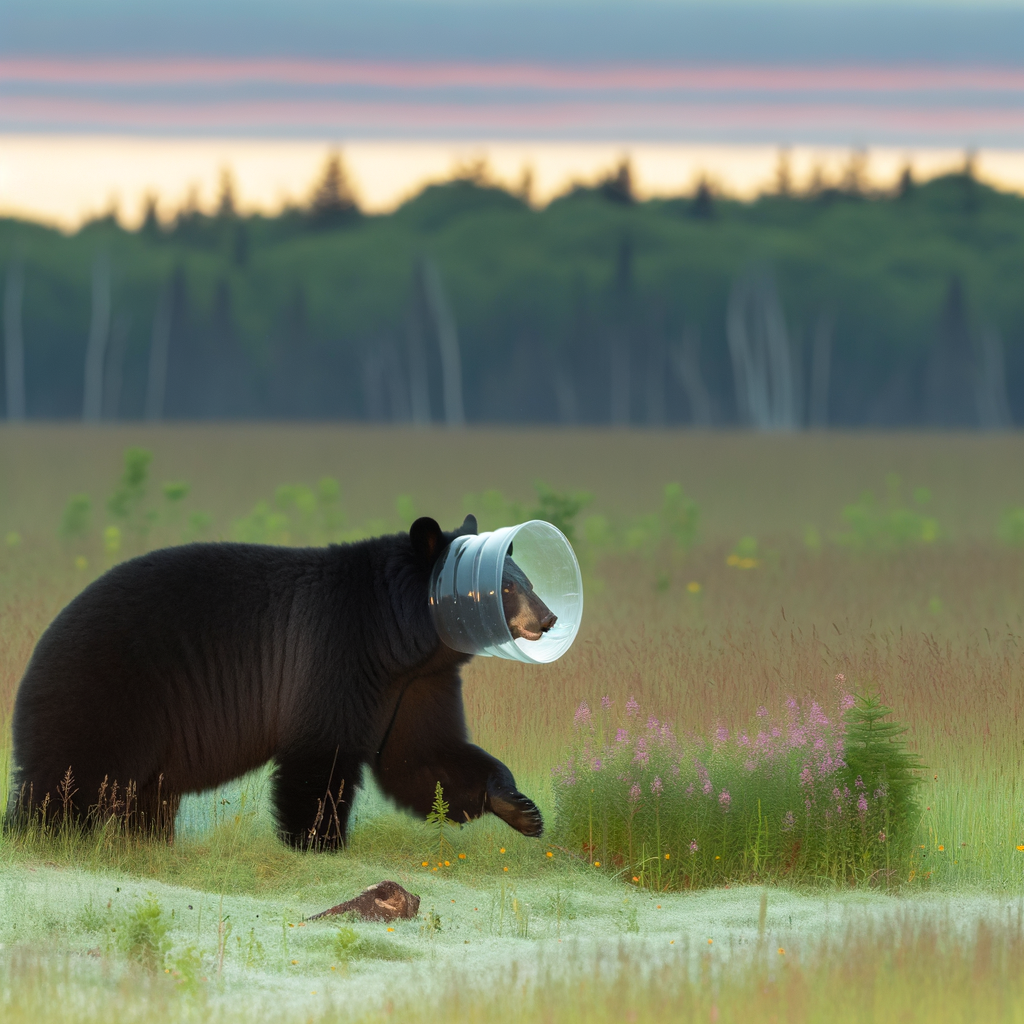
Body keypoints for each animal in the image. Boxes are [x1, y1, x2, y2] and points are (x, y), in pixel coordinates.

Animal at [6, 514, 557, 848]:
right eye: (507, 586)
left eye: (524, 578)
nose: (549, 618)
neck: (395, 633)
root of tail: (39, 650)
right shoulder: (339, 648)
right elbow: (321, 752)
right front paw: (319, 842)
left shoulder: (419, 681)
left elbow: (423, 755)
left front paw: (521, 807)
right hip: (107, 691)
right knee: (69, 776)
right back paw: (39, 835)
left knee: (141, 798)